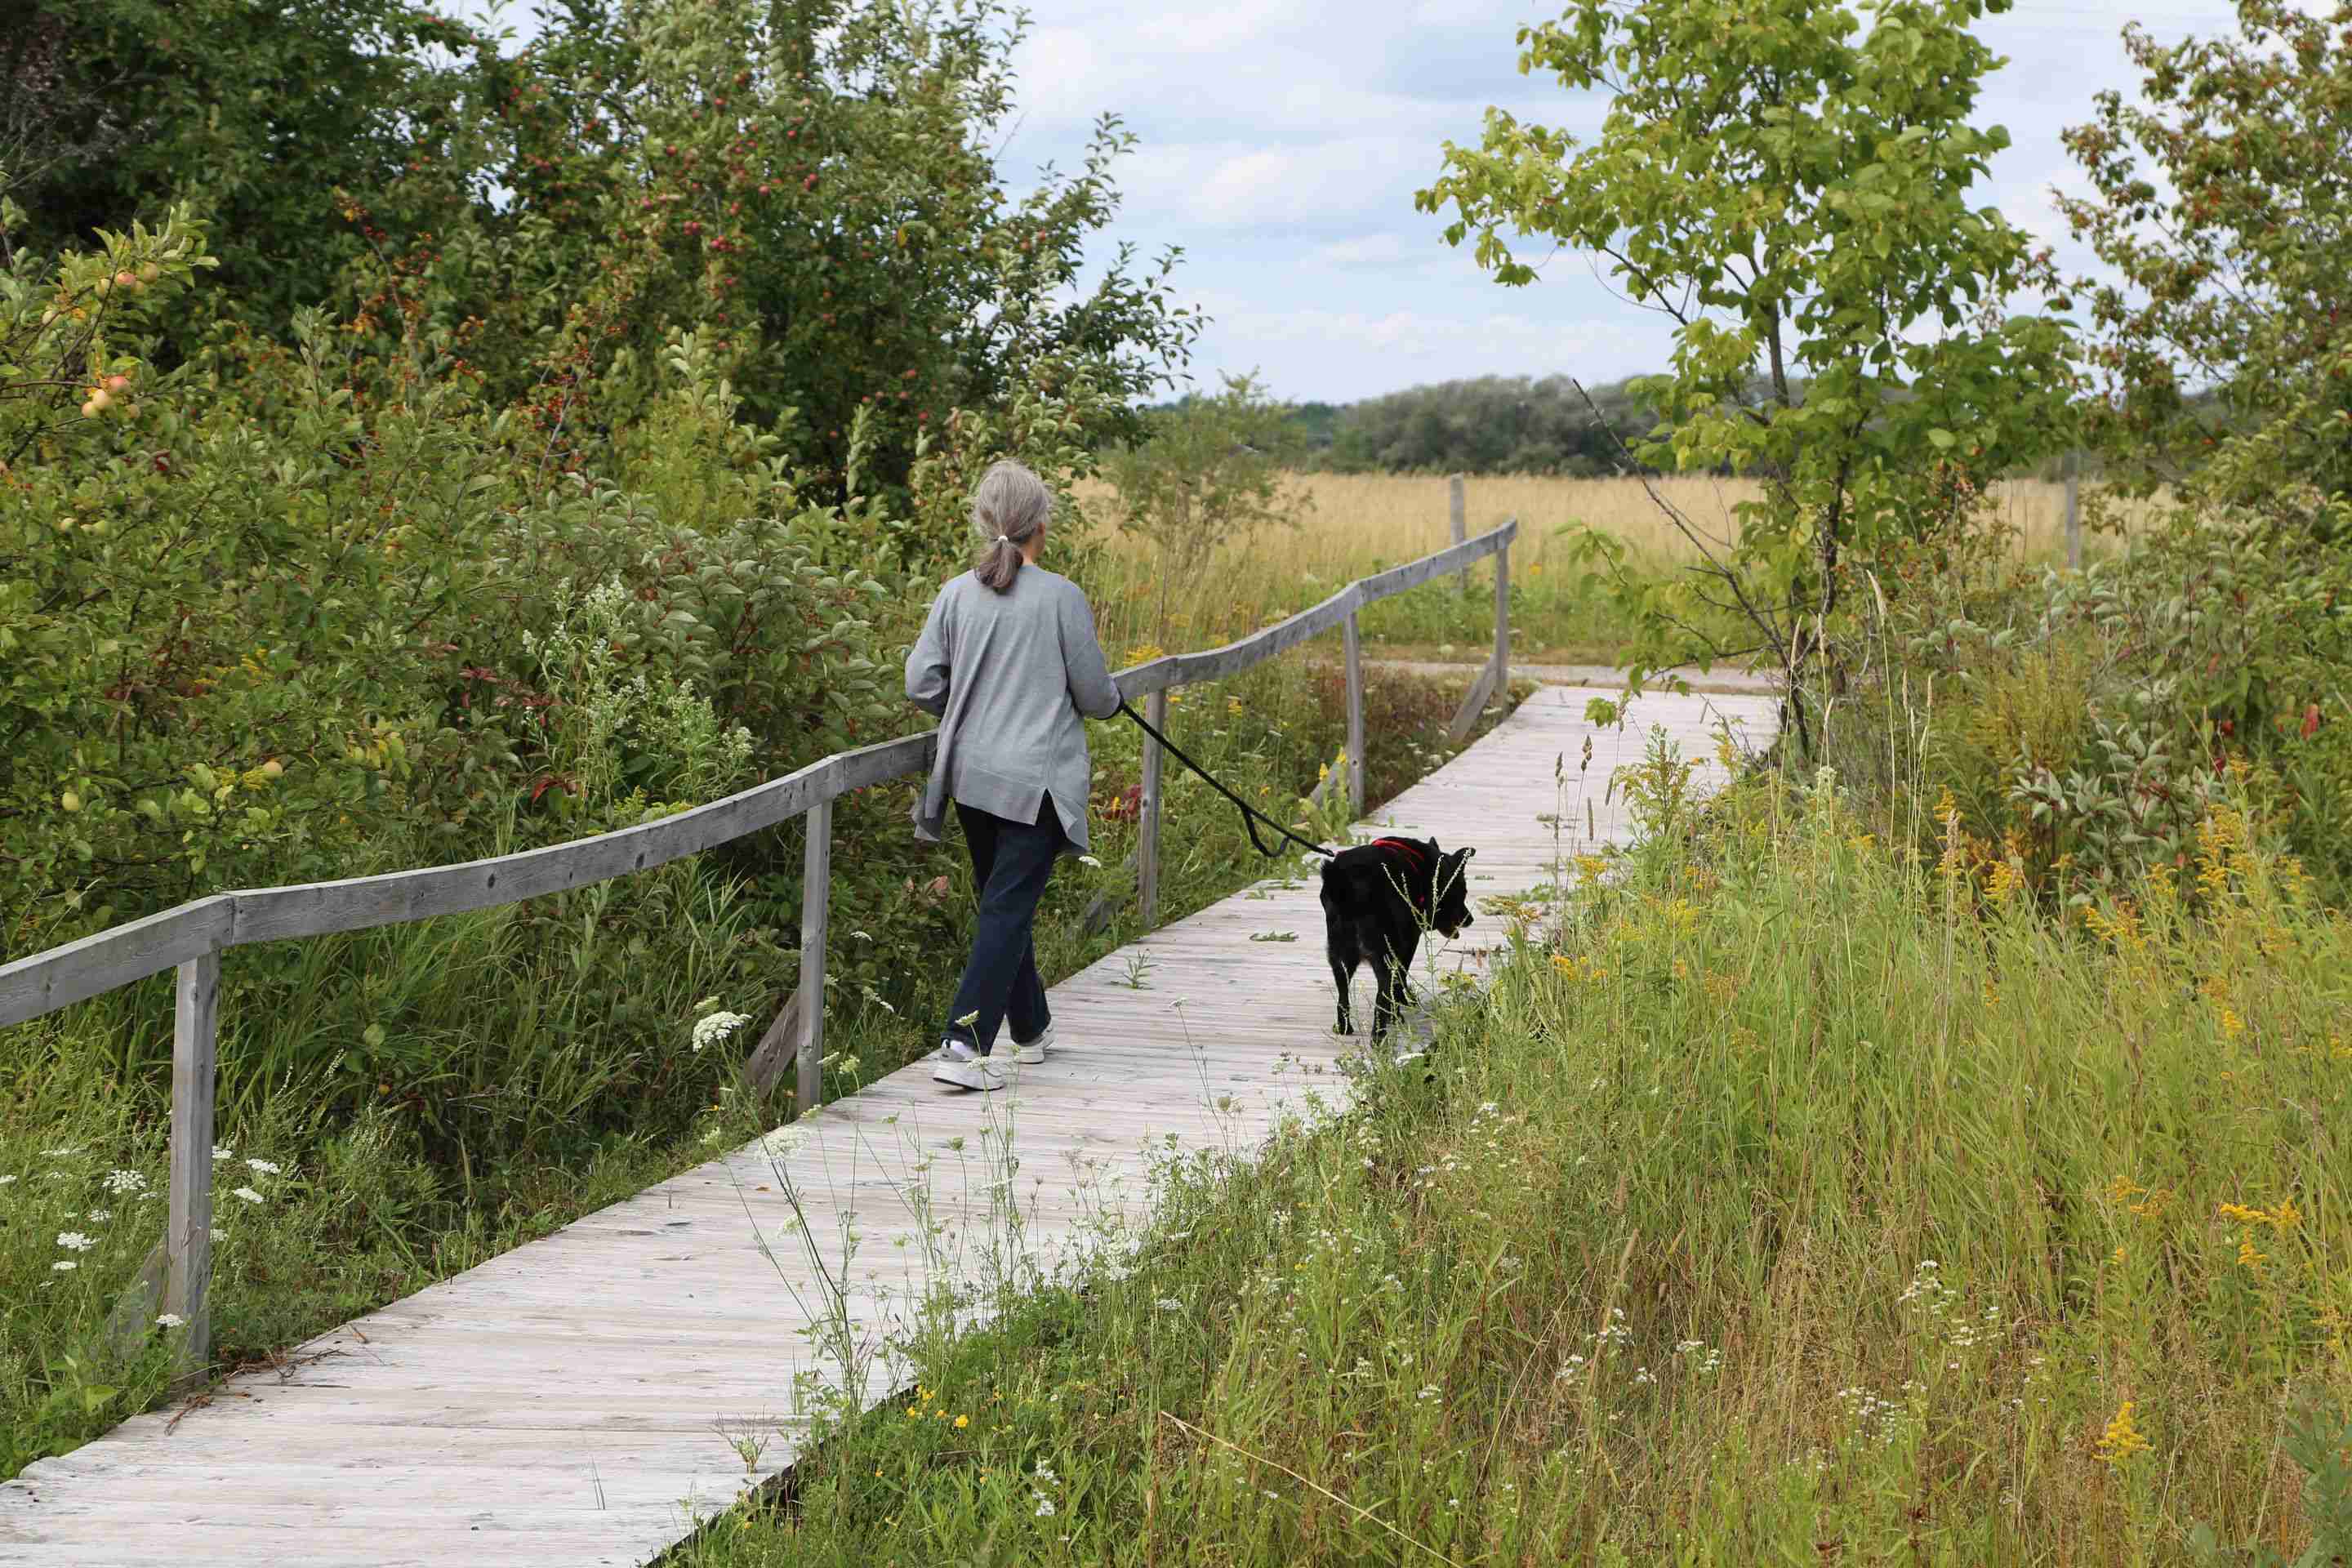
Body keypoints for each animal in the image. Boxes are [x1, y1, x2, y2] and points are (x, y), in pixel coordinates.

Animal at [1316, 832, 1477, 1044]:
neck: (1424, 867)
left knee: (1343, 996)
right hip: (1385, 954)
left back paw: (1344, 1028)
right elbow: (1401, 978)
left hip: (1339, 956)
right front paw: (1401, 1007)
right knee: (1382, 996)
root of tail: (1348, 884)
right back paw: (1380, 1035)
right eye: (1463, 892)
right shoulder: (1409, 942)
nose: (1470, 919)